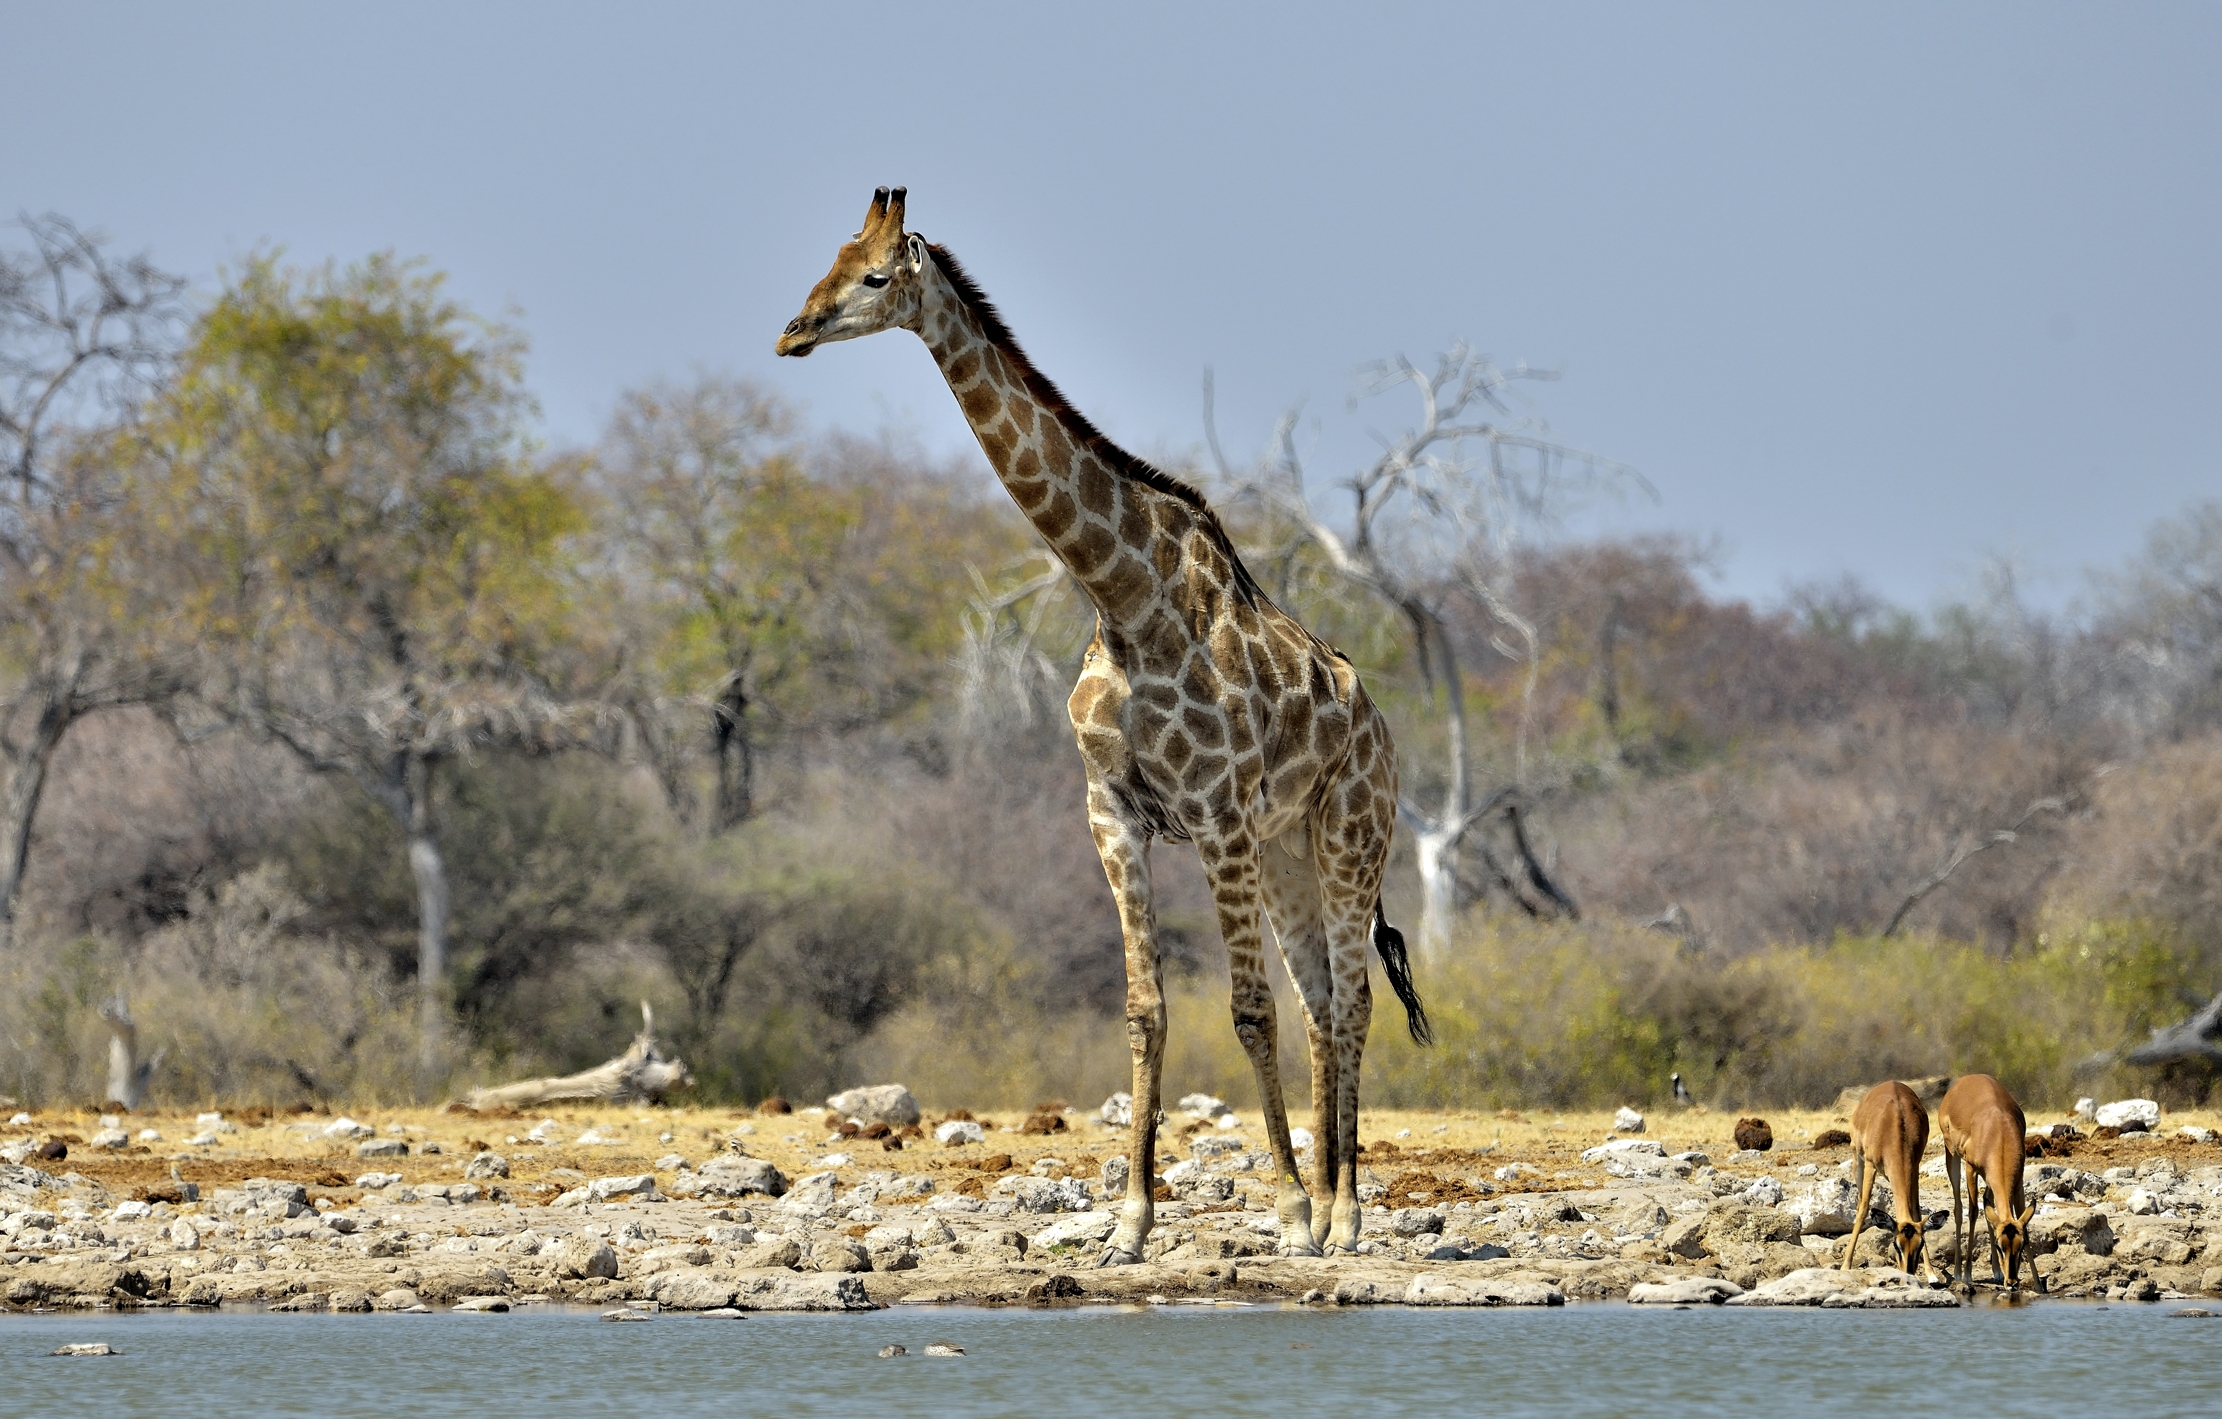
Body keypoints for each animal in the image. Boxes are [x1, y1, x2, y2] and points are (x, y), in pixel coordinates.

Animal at [777, 188, 1429, 1262]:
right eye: (824, 261)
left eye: (872, 276)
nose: (792, 331)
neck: (1122, 596)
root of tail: (1381, 732)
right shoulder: (1113, 812)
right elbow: (1144, 1010)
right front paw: (1128, 1221)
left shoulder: (1215, 816)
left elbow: (1245, 1011)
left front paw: (1288, 1210)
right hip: (1288, 852)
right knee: (1321, 999)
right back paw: (1332, 1203)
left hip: (1349, 837)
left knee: (1352, 996)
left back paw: (1341, 1215)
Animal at [1840, 1080, 1932, 1277]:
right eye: (1896, 1245)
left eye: (1920, 1245)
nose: (1908, 1273)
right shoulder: (1870, 1165)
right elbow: (1864, 1209)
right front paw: (1845, 1266)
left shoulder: (1914, 1168)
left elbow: (1917, 1211)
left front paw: (1931, 1273)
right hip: (1858, 1160)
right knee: (1859, 1202)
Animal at [1938, 1073, 2037, 1290]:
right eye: (2000, 1246)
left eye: (2021, 1245)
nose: (2012, 1282)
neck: (1998, 1133)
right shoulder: (1971, 1169)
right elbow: (1973, 1212)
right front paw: (1967, 1274)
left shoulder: (2018, 1179)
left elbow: (2019, 1215)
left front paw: (2038, 1284)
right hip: (1952, 1155)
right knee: (1959, 1209)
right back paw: (1958, 1273)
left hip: (1990, 1180)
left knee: (1987, 1204)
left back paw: (1997, 1273)